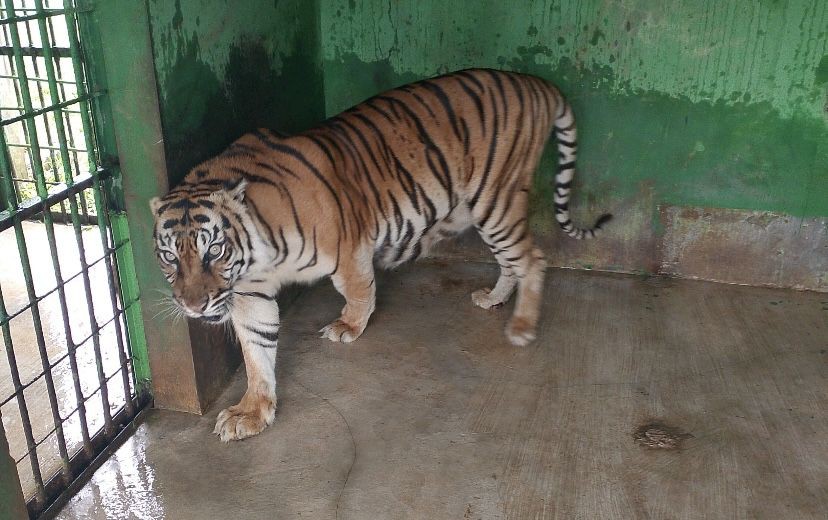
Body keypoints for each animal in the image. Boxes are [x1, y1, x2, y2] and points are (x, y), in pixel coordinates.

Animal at [152, 68, 612, 442]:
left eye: (214, 250)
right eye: (170, 258)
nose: (194, 306)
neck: (254, 255)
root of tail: (535, 82)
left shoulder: (348, 245)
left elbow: (357, 290)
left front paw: (349, 327)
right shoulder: (248, 293)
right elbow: (257, 350)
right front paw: (252, 412)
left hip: (496, 199)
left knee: (532, 259)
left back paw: (521, 326)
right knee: (511, 260)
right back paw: (494, 299)